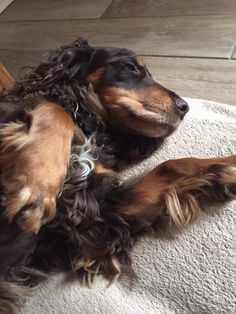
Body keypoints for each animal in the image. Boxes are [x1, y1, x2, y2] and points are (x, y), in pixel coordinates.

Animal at [0, 39, 236, 314]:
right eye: (131, 67)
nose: (184, 106)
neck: (89, 127)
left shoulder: (90, 218)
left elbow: (169, 167)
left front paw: (227, 168)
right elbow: (54, 108)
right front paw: (35, 185)